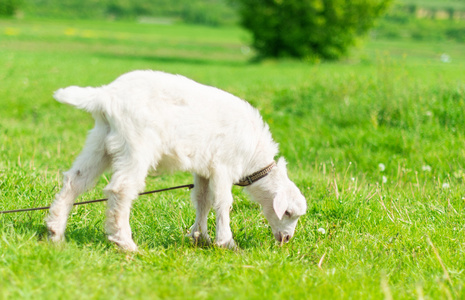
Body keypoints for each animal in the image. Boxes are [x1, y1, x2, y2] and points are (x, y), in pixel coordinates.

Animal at [46, 71, 308, 251]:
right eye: (287, 213)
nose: (287, 239)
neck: (253, 156)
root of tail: (105, 95)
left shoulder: (204, 170)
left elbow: (202, 200)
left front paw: (200, 237)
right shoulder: (223, 166)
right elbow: (223, 203)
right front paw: (226, 242)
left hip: (101, 141)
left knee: (75, 180)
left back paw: (55, 232)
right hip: (136, 145)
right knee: (121, 190)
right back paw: (125, 243)